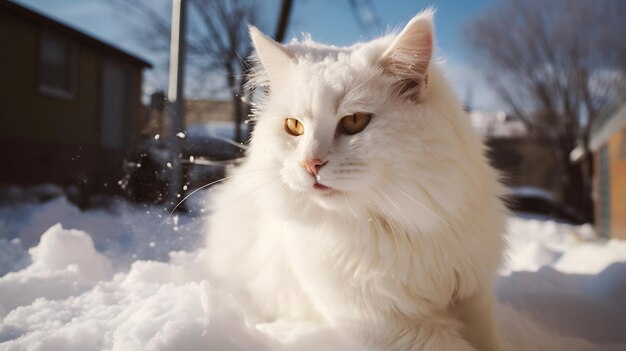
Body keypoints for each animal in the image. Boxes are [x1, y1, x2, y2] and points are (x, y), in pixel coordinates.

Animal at [202, 8, 504, 351]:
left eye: (355, 121)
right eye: (294, 126)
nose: (310, 163)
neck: (404, 228)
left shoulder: (473, 296)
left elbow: (491, 341)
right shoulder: (394, 327)